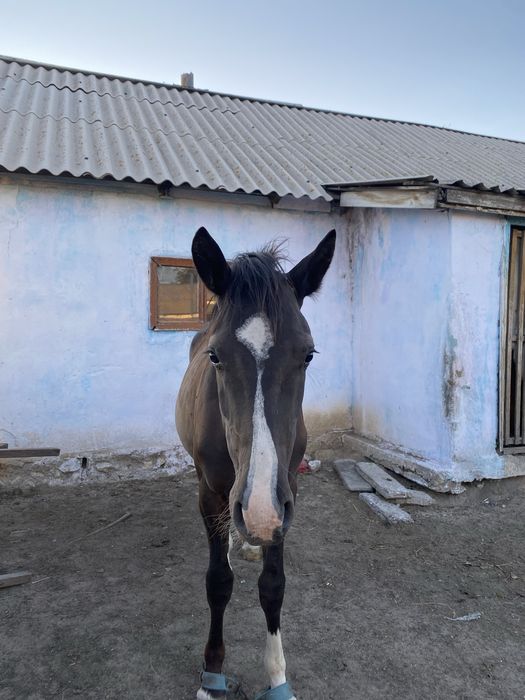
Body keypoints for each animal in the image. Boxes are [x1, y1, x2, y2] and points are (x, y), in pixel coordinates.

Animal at [176, 226, 336, 699]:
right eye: (215, 356)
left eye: (308, 354)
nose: (259, 514)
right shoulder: (211, 493)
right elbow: (218, 582)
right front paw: (212, 676)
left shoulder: (286, 495)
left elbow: (273, 586)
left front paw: (278, 677)